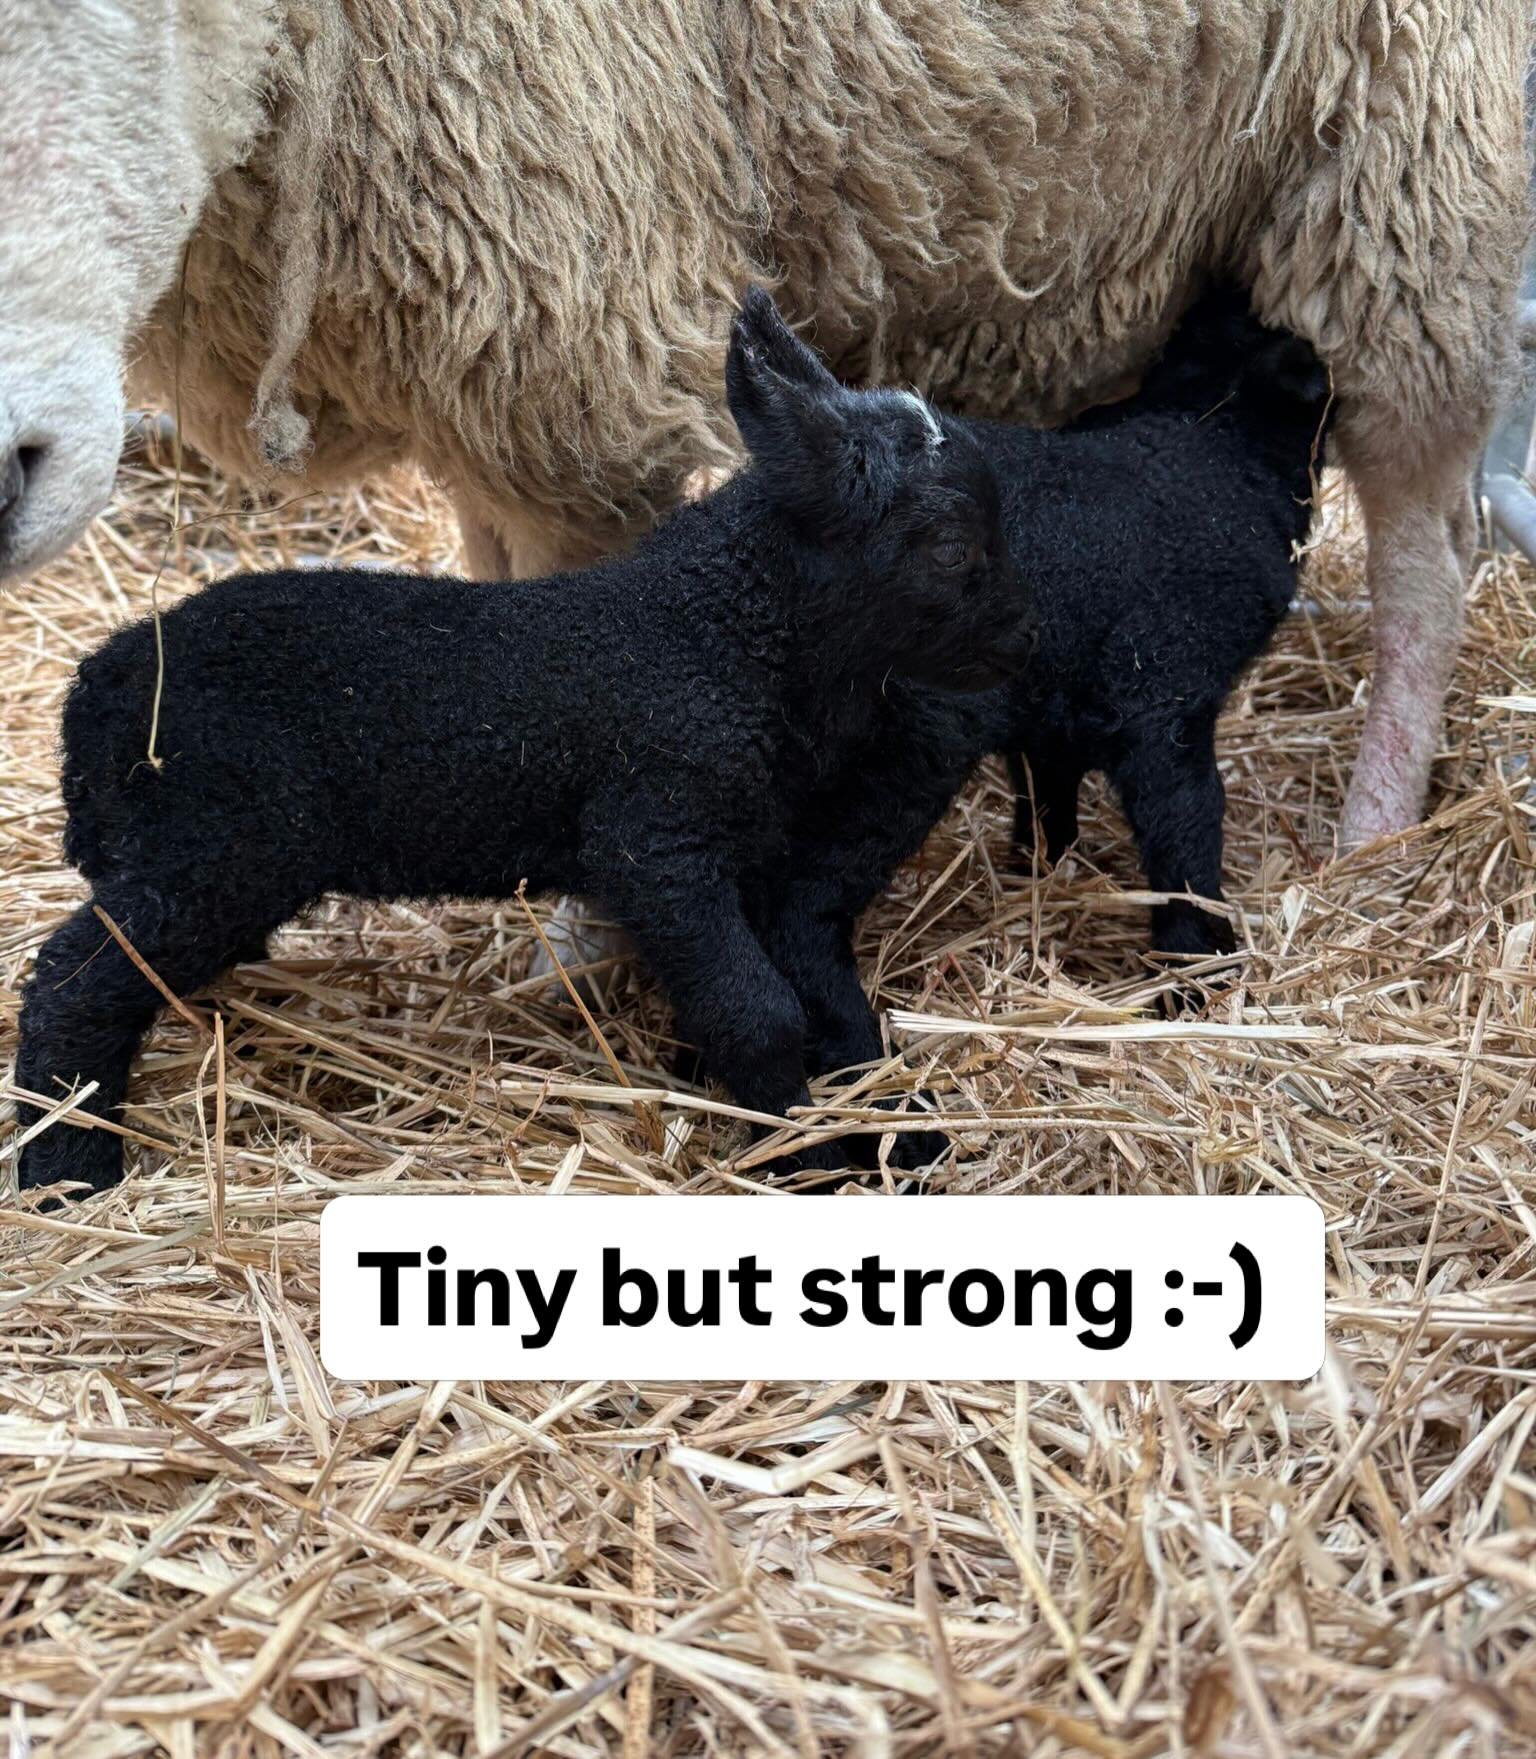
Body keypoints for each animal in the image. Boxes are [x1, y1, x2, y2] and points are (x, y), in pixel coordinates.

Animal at [0, 2, 1526, 856]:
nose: (5, 467)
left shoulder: (581, 322)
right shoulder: (492, 370)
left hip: (1414, 163)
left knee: (1429, 547)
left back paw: (1371, 833)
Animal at [13, 290, 1031, 1198]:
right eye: (949, 547)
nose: (1022, 641)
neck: (721, 630)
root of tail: (97, 688)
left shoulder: (743, 854)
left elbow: (808, 989)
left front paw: (879, 1129)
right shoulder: (657, 835)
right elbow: (760, 1009)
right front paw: (800, 1155)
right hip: (215, 844)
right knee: (71, 981)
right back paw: (66, 1174)